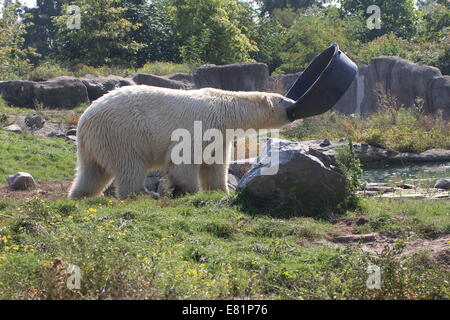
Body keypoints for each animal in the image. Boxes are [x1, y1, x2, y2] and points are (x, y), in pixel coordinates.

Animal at [68, 86, 298, 199]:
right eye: (282, 99)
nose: (295, 103)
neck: (224, 110)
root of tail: (85, 120)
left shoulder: (218, 135)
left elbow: (214, 165)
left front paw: (221, 190)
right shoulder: (199, 126)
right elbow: (184, 160)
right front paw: (189, 190)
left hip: (96, 143)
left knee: (92, 172)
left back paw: (80, 195)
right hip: (122, 133)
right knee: (130, 166)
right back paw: (146, 194)